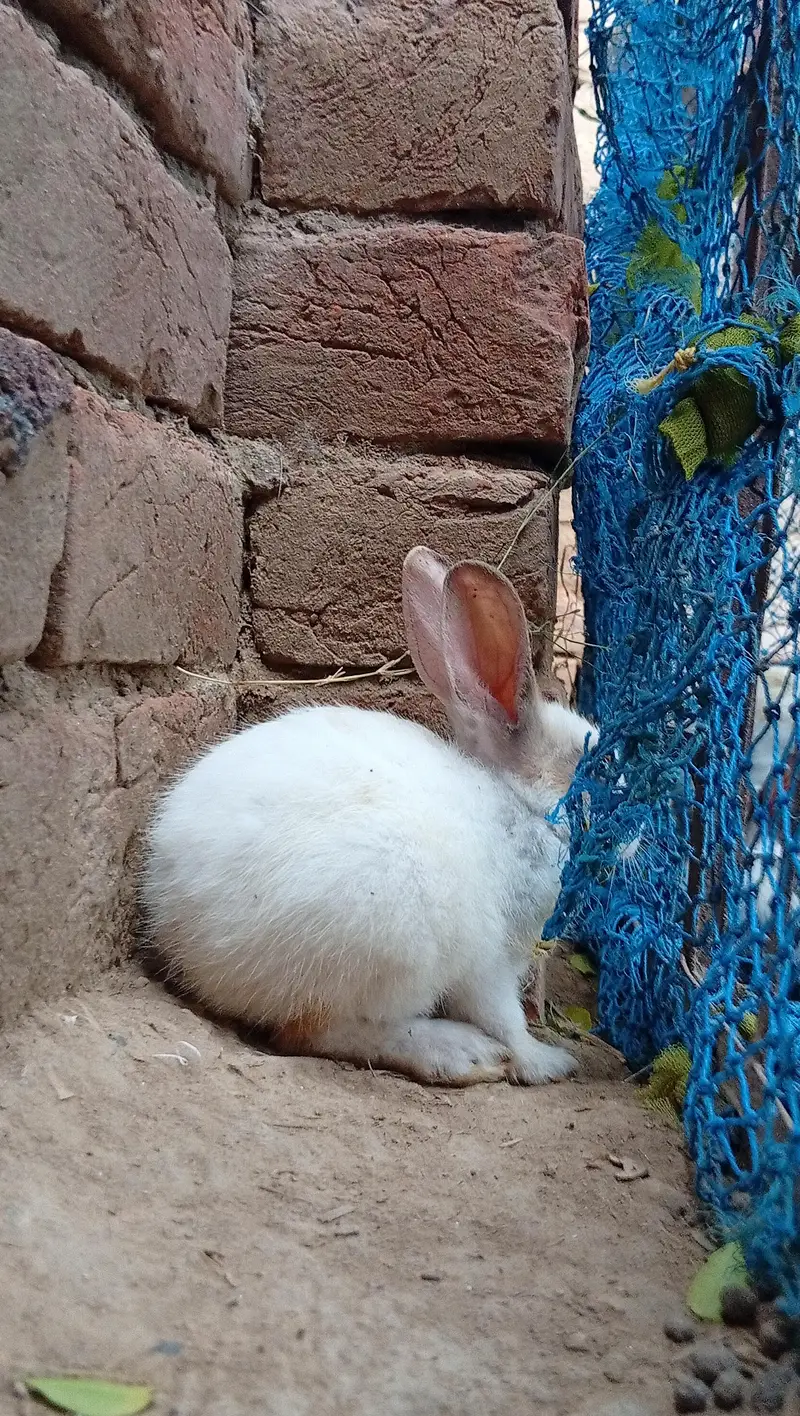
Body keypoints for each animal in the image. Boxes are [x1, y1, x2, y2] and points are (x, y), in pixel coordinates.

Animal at [141, 546, 597, 1087]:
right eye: (591, 764)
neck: (521, 809)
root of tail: (175, 927)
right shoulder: (491, 960)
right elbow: (504, 1019)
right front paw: (547, 1062)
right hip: (387, 942)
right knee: (315, 1033)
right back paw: (460, 1054)